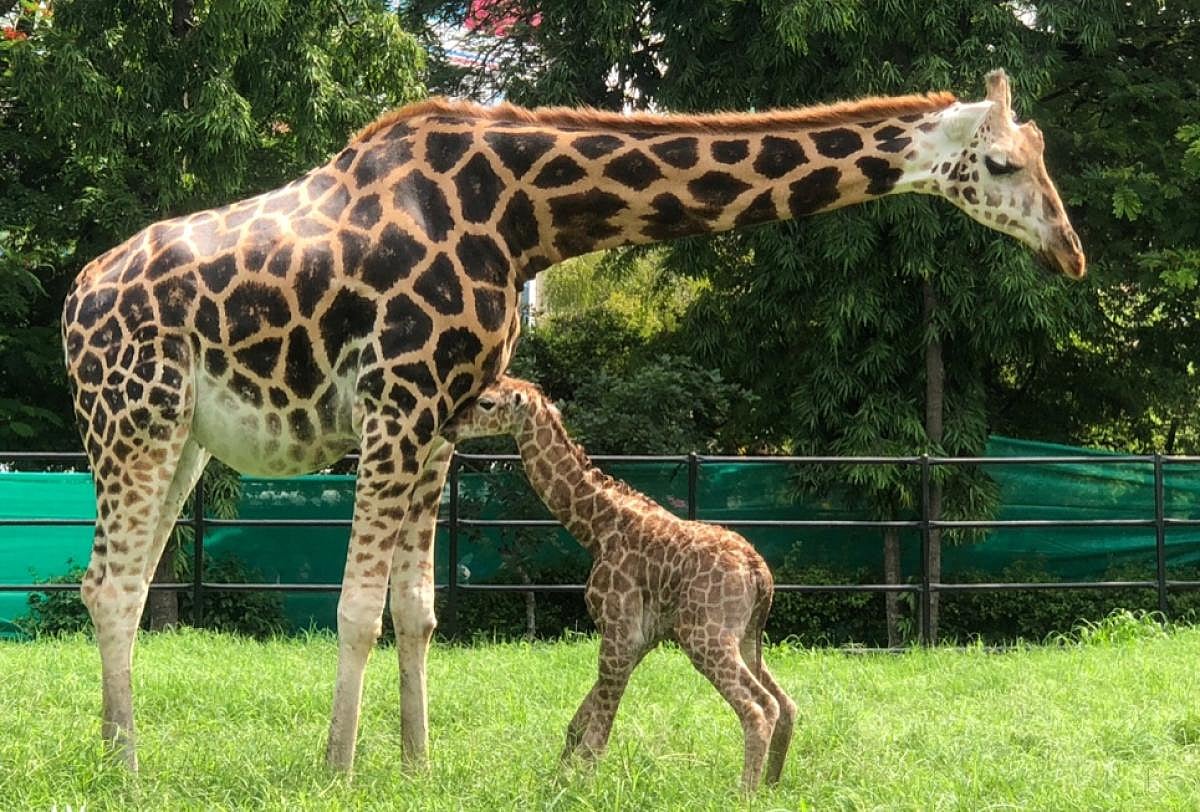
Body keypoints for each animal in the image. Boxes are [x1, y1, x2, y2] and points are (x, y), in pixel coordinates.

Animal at [442, 376, 794, 791]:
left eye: (485, 402)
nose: (447, 427)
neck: (596, 527)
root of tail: (759, 572)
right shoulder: (640, 640)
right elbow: (578, 725)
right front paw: (558, 783)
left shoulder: (619, 632)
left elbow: (596, 737)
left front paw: (580, 791)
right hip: (747, 637)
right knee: (786, 703)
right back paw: (770, 787)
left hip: (705, 636)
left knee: (759, 707)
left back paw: (744, 795)